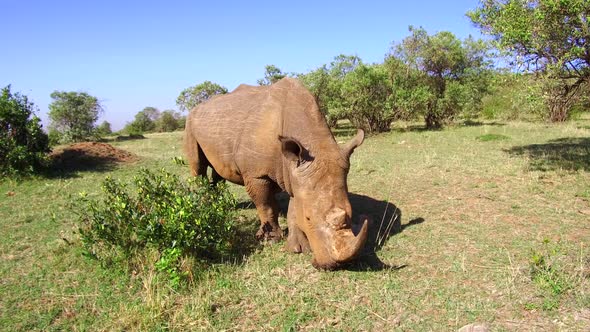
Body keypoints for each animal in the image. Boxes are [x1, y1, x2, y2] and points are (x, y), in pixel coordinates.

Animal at [185, 76, 370, 268]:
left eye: (350, 214)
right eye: (309, 219)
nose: (334, 265)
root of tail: (197, 108)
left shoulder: (296, 173)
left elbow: (293, 209)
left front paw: (298, 248)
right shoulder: (257, 174)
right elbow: (266, 205)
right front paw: (270, 239)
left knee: (218, 170)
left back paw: (219, 205)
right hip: (190, 123)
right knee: (198, 166)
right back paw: (206, 206)